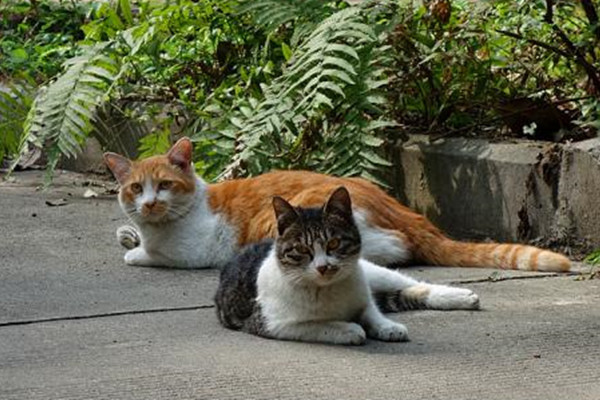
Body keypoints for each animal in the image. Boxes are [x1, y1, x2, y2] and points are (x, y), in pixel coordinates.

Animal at [214, 186, 478, 346]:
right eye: (302, 250)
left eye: (334, 242)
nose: (323, 267)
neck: (328, 291)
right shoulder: (272, 324)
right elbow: (317, 325)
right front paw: (348, 329)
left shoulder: (363, 298)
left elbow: (372, 312)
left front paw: (387, 326)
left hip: (373, 271)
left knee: (413, 284)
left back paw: (460, 296)